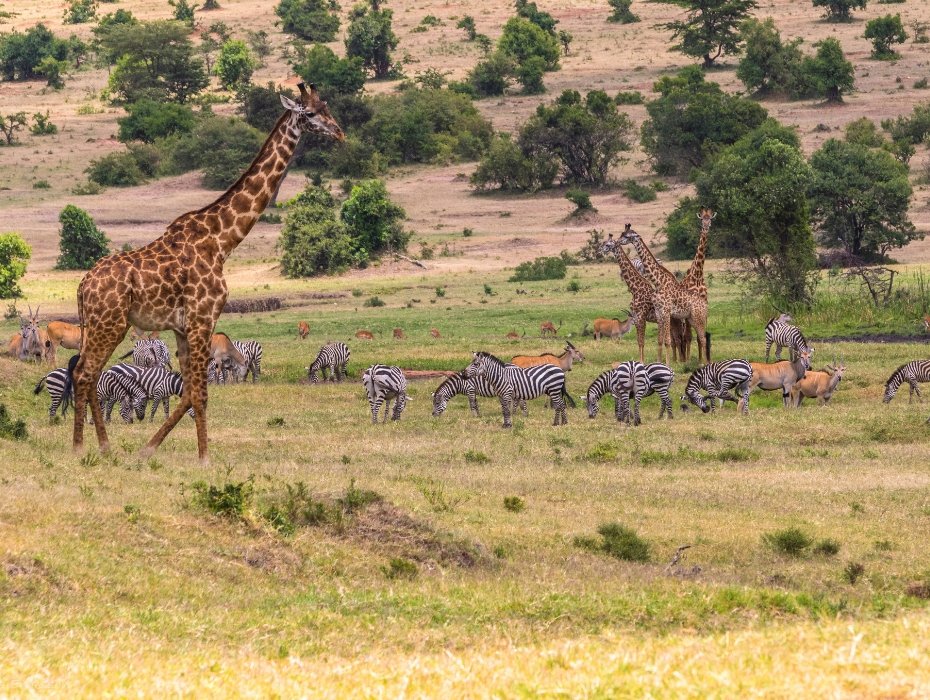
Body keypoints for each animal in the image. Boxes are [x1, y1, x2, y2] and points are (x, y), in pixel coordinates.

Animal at [72, 83, 344, 465]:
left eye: (326, 107)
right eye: (309, 113)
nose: (339, 132)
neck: (222, 241)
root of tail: (83, 285)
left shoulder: (183, 327)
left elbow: (188, 390)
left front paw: (148, 449)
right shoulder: (204, 317)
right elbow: (199, 392)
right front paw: (204, 458)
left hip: (105, 324)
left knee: (89, 372)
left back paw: (103, 445)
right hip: (108, 323)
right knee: (85, 372)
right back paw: (82, 447)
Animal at [602, 233, 690, 363]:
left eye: (608, 244)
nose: (601, 250)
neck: (635, 288)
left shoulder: (641, 317)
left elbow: (641, 342)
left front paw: (642, 362)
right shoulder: (636, 317)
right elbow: (639, 341)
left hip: (674, 320)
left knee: (679, 339)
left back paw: (679, 360)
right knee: (677, 339)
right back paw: (678, 359)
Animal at [618, 224, 709, 366]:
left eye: (627, 236)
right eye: (622, 234)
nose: (617, 241)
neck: (658, 282)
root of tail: (705, 304)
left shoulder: (662, 313)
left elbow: (664, 340)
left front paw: (666, 364)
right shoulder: (658, 313)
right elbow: (660, 340)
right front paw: (659, 362)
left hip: (696, 318)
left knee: (699, 338)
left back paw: (700, 362)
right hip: (690, 319)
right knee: (692, 338)